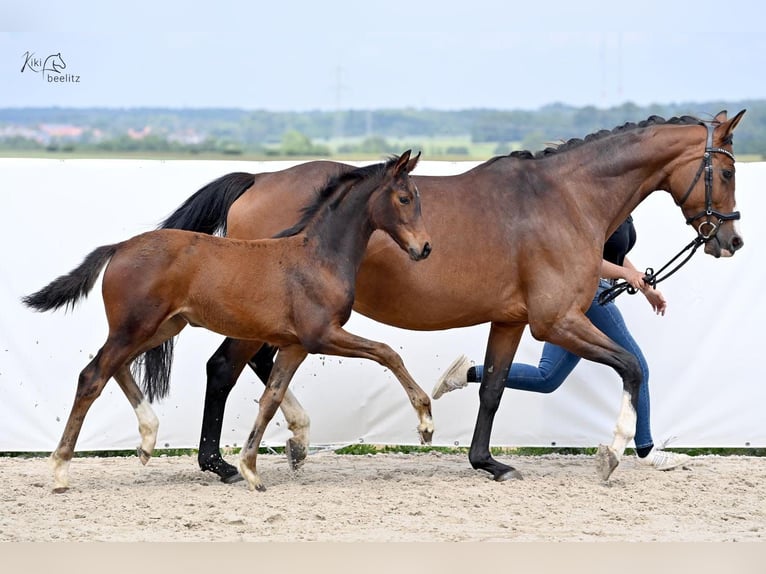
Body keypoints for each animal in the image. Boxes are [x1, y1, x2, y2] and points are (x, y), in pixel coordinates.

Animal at [22, 151, 432, 492]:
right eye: (404, 198)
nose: (424, 248)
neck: (318, 257)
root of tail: (119, 247)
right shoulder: (322, 336)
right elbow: (387, 352)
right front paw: (426, 420)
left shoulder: (295, 345)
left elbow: (270, 399)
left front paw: (251, 468)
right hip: (136, 327)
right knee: (92, 376)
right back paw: (61, 470)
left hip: (159, 327)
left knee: (114, 367)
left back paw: (148, 439)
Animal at [164, 109, 752, 486]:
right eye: (726, 170)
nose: (729, 240)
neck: (565, 198)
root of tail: (256, 180)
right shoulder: (557, 321)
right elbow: (630, 366)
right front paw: (612, 454)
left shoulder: (512, 320)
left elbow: (491, 388)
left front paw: (486, 462)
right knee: (224, 368)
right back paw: (223, 463)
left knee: (250, 366)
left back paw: (283, 444)